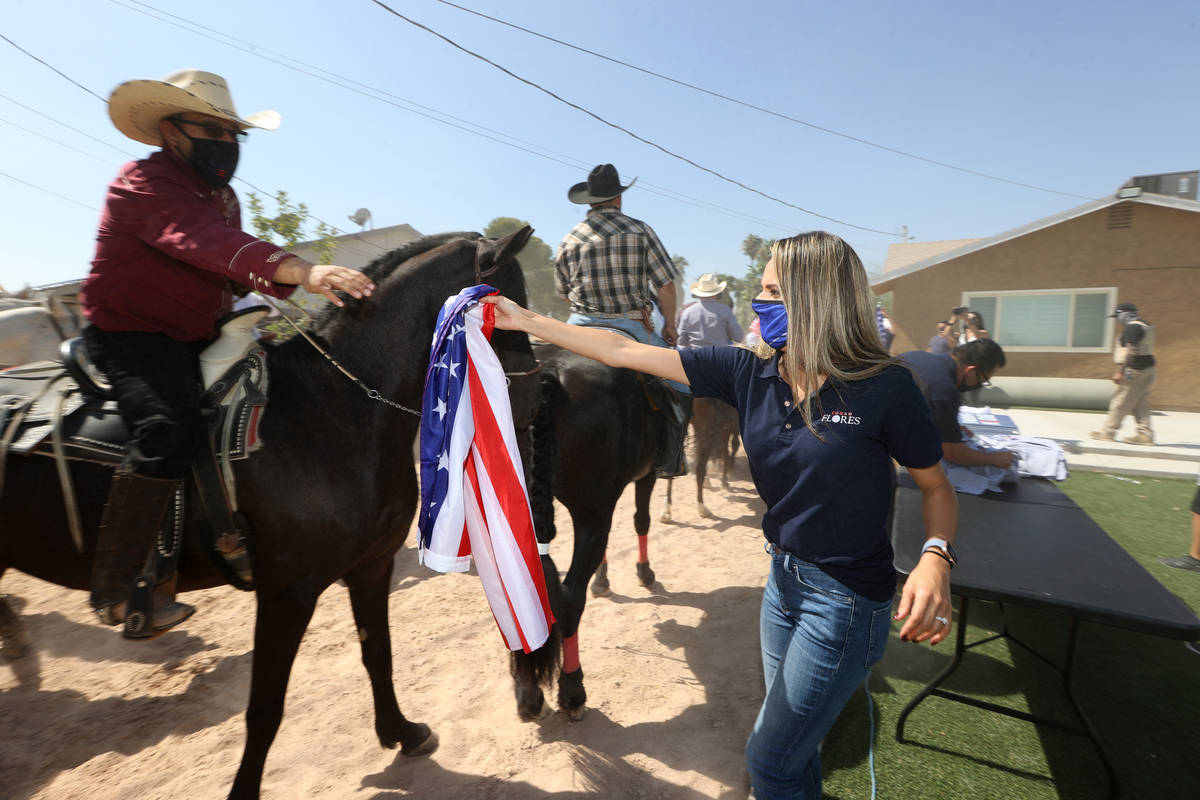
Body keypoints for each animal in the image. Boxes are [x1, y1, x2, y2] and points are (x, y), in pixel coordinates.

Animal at [0, 226, 540, 800]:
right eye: (506, 309)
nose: (532, 401)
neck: (334, 409)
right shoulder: (287, 592)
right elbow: (265, 706)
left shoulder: (370, 569)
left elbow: (378, 654)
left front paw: (401, 732)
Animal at [508, 343, 672, 719]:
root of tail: (548, 375)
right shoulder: (644, 476)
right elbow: (642, 519)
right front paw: (644, 572)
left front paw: (603, 579)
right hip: (590, 513)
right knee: (570, 599)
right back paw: (572, 689)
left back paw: (527, 693)